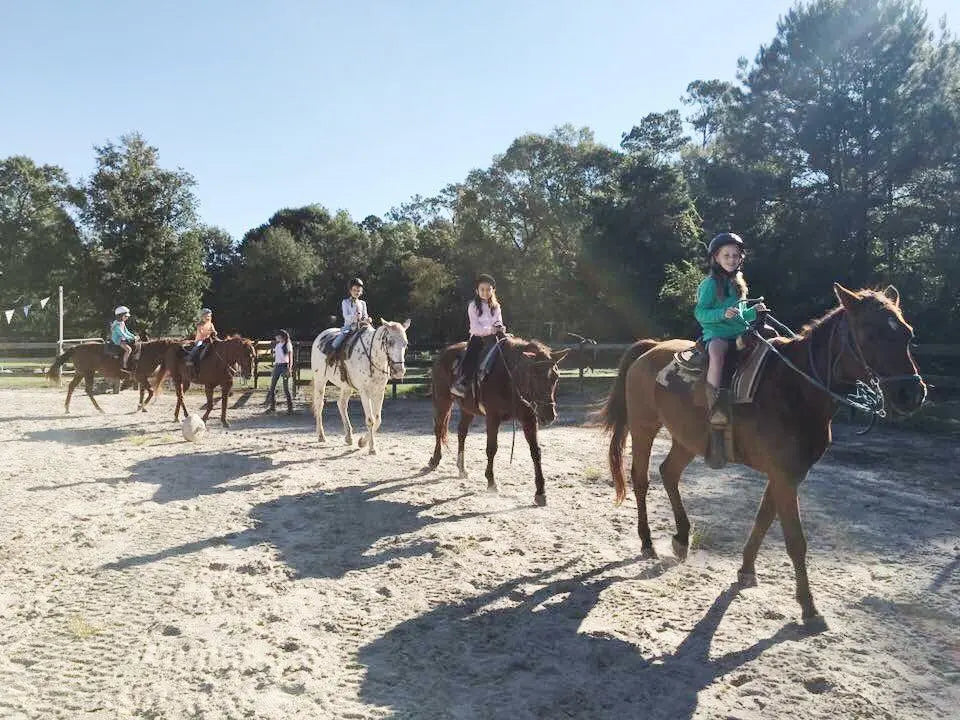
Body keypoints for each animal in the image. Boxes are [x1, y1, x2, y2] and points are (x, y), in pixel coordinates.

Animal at [312, 318, 408, 452]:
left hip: (346, 386)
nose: (399, 371)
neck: (372, 357)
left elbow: (377, 419)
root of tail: (321, 336)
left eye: (405, 344)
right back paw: (321, 436)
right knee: (319, 405)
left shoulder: (379, 391)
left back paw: (348, 437)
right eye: (390, 342)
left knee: (341, 404)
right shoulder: (364, 392)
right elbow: (370, 419)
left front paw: (362, 442)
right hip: (320, 380)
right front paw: (372, 448)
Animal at [426, 334, 568, 504]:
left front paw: (540, 492)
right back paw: (434, 460)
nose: (549, 415)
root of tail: (442, 353)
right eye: (534, 376)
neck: (509, 378)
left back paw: (462, 468)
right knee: (439, 429)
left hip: (467, 409)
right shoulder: (493, 417)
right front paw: (491, 482)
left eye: (556, 377)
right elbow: (492, 448)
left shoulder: (529, 418)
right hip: (442, 400)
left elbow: (536, 452)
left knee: (461, 433)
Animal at [604, 284, 928, 620]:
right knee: (641, 480)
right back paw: (647, 542)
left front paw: (746, 570)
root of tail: (652, 347)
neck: (796, 388)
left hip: (687, 439)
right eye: (870, 333)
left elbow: (762, 520)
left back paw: (681, 539)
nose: (912, 393)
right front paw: (808, 605)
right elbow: (795, 540)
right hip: (644, 427)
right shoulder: (784, 476)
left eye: (907, 334)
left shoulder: (787, 474)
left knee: (668, 472)